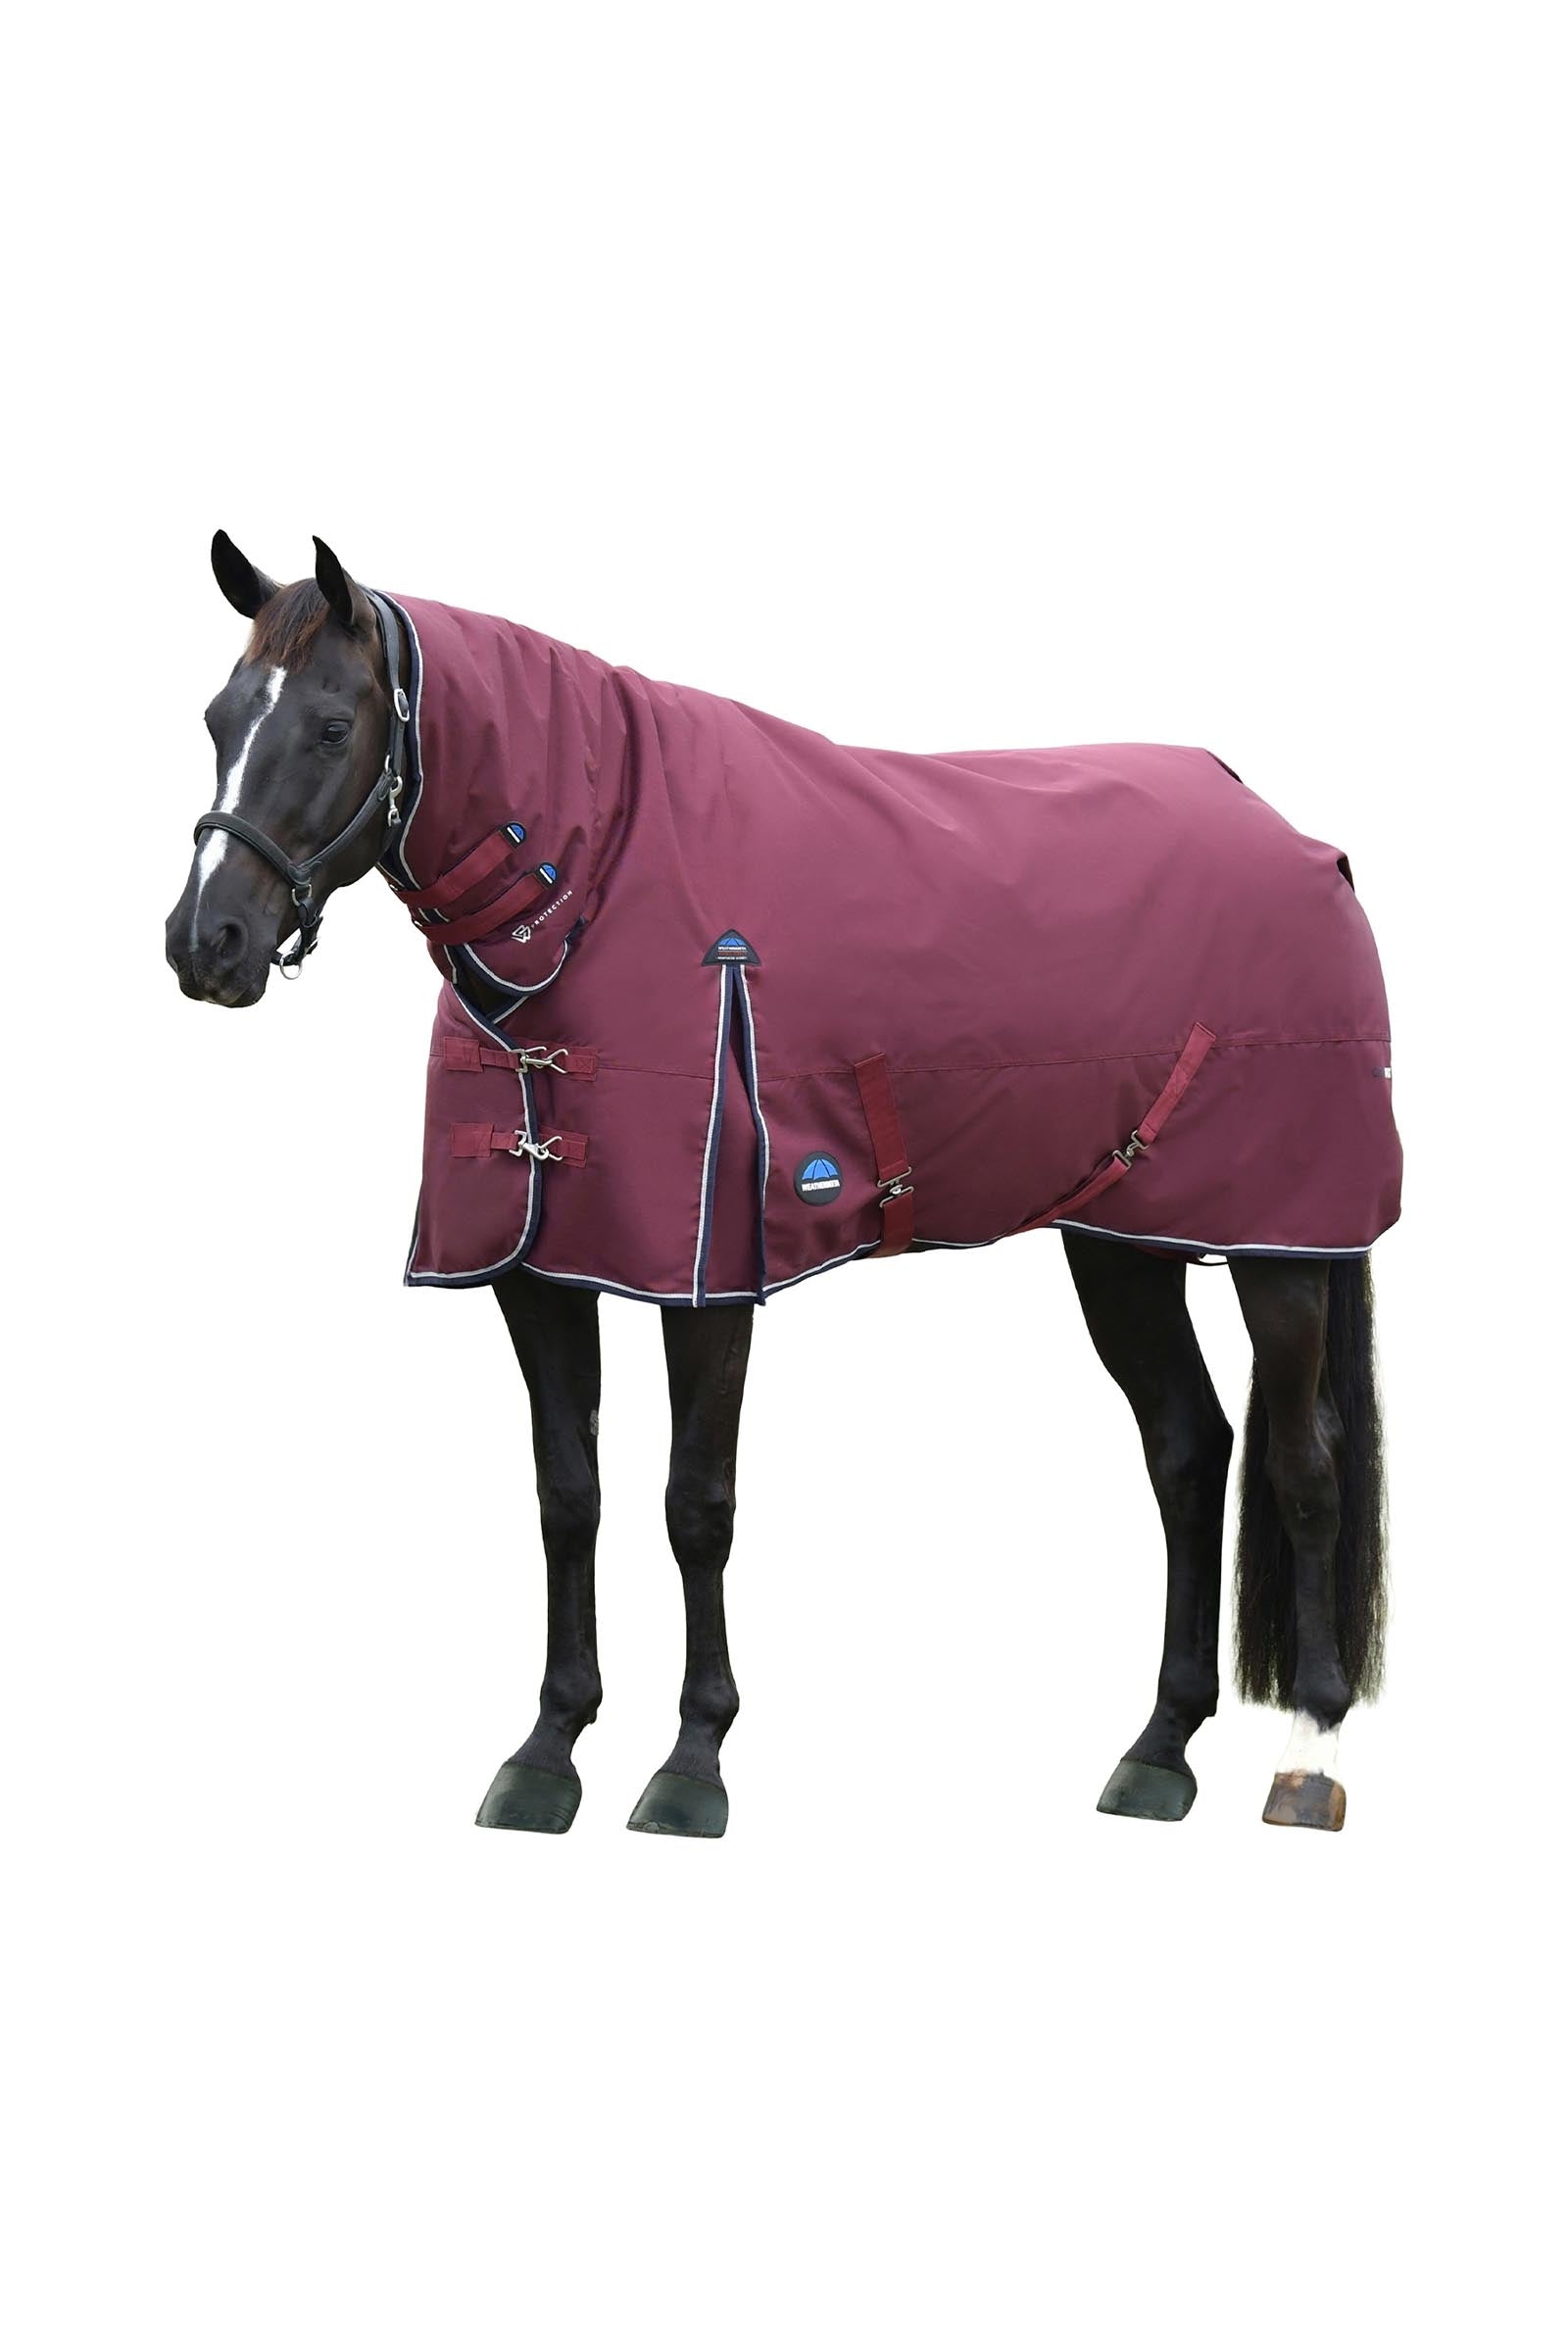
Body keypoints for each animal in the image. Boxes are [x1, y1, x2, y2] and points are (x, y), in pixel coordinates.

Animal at [166, 532, 1397, 1838]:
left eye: (332, 726)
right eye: (218, 717)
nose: (205, 944)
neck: (598, 881)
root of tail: (1295, 838)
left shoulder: (706, 1280)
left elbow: (694, 1507)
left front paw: (690, 1763)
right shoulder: (538, 1273)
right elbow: (568, 1498)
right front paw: (547, 1751)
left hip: (1277, 1247)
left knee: (1302, 1465)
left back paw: (1310, 1754)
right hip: (1120, 1239)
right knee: (1187, 1449)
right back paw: (1159, 1749)